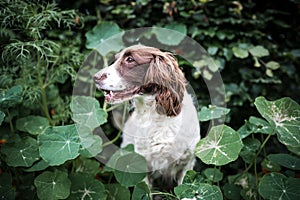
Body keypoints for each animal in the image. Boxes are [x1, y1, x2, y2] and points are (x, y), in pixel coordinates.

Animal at [93, 44, 199, 188]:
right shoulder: (141, 164)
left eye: (130, 59)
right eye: (115, 59)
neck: (154, 115)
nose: (95, 77)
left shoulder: (187, 163)